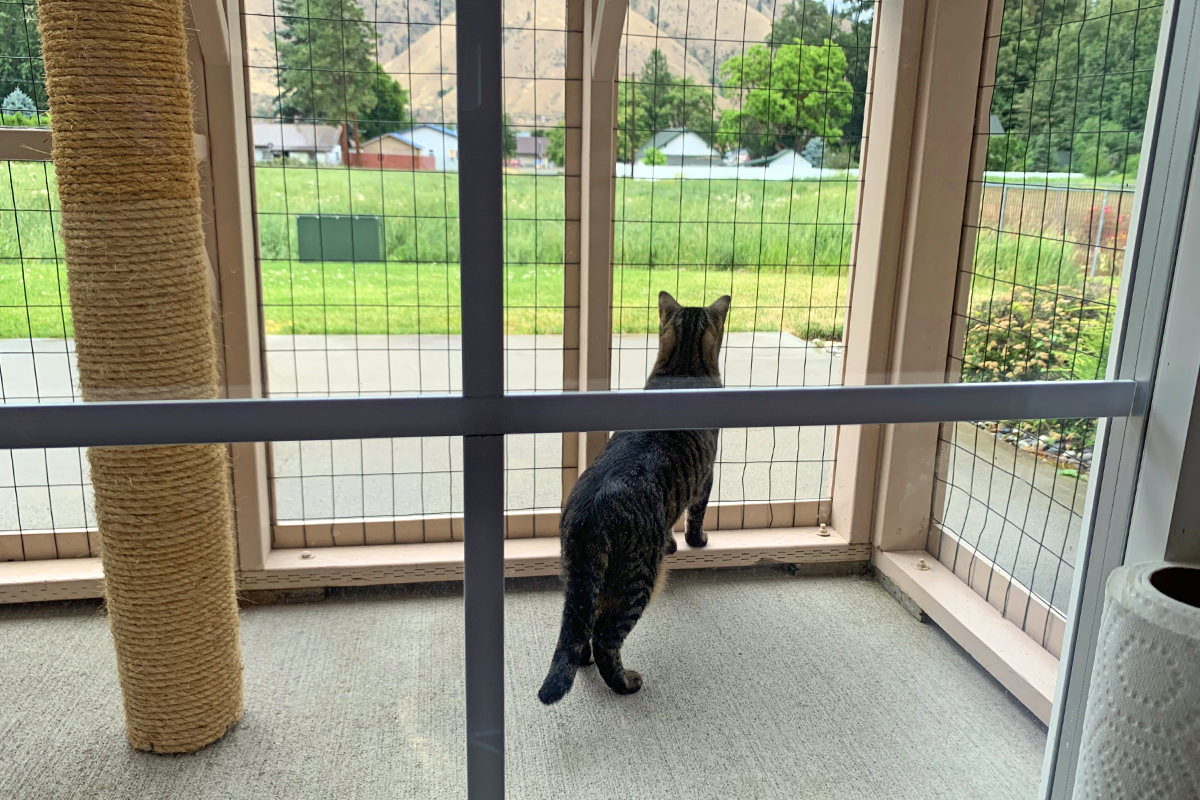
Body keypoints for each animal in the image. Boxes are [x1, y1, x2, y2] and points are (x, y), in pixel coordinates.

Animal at [537, 291, 724, 705]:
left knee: (581, 628)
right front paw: (696, 540)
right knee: (605, 638)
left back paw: (585, 661)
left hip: (579, 578)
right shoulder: (706, 476)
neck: (681, 367)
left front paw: (674, 543)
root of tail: (588, 512)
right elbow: (696, 515)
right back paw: (625, 683)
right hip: (636, 583)